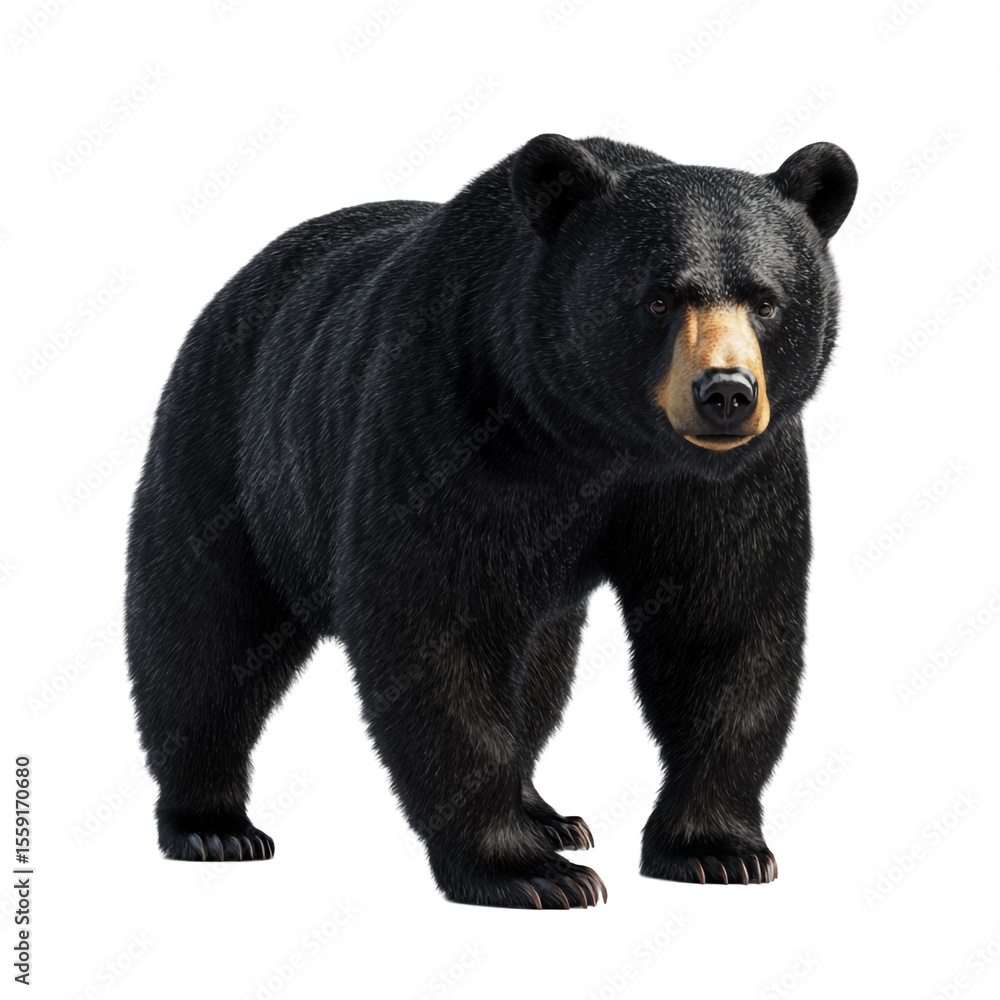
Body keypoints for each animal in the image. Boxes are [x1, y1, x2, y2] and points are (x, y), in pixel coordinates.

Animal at [125, 132, 857, 908]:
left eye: (766, 301)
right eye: (658, 298)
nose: (725, 393)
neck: (593, 438)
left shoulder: (725, 482)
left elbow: (722, 626)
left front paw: (716, 849)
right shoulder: (448, 419)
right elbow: (434, 627)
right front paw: (526, 870)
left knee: (539, 669)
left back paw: (549, 813)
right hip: (232, 452)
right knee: (202, 630)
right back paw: (211, 823)